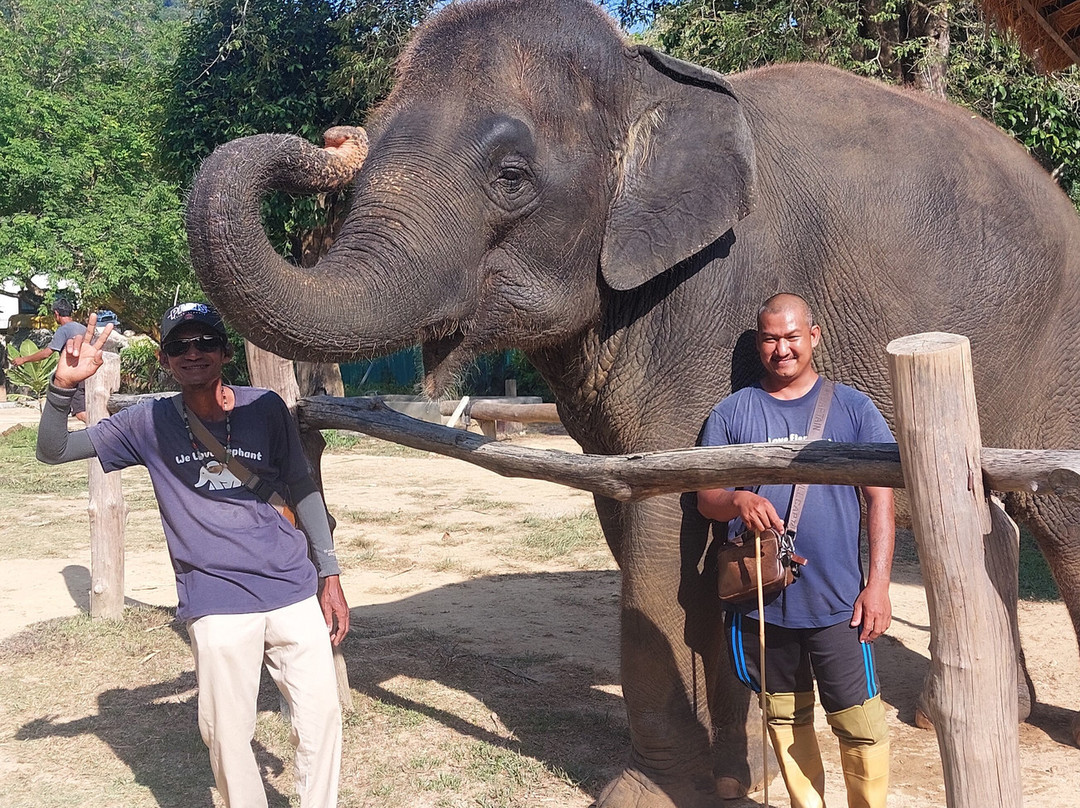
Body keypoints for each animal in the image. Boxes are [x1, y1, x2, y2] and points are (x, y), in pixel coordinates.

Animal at [184, 0, 1080, 805]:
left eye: (511, 178)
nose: (335, 139)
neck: (647, 76)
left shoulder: (714, 306)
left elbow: (662, 526)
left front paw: (651, 789)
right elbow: (642, 511)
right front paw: (734, 777)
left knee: (1055, 512)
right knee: (984, 514)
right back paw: (969, 714)